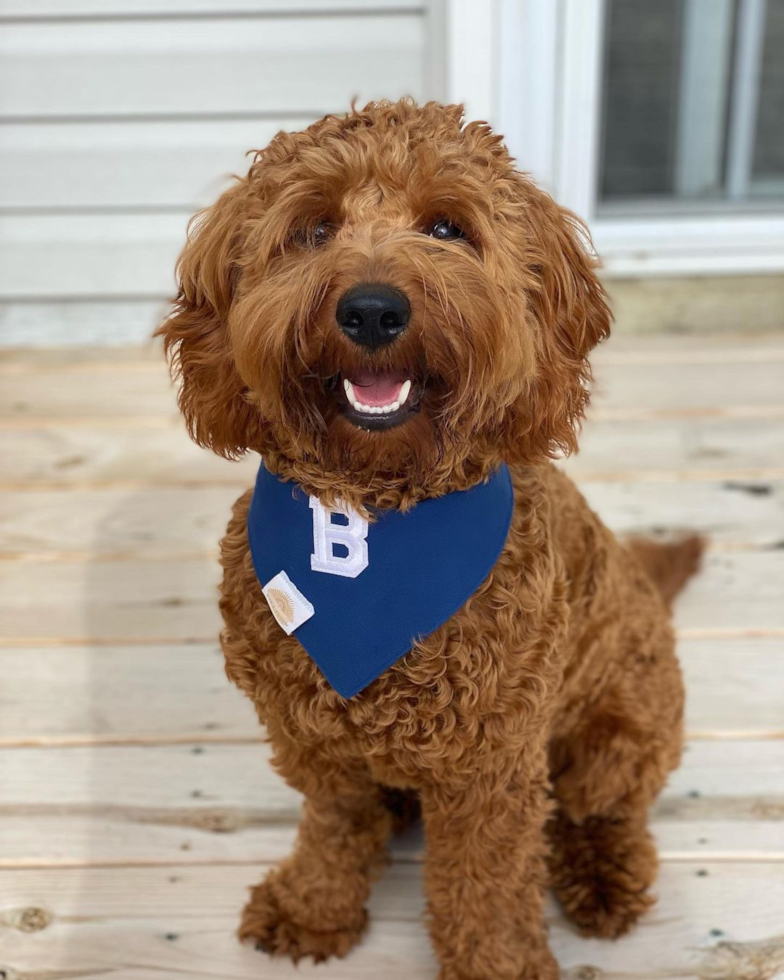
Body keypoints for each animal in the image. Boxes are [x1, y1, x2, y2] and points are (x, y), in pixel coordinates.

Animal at [159, 99, 704, 980]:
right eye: (314, 229)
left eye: (447, 228)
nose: (373, 310)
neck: (376, 519)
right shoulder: (313, 743)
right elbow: (334, 829)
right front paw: (313, 910)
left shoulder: (493, 766)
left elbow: (487, 882)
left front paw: (499, 964)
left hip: (617, 736)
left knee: (605, 811)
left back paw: (604, 878)